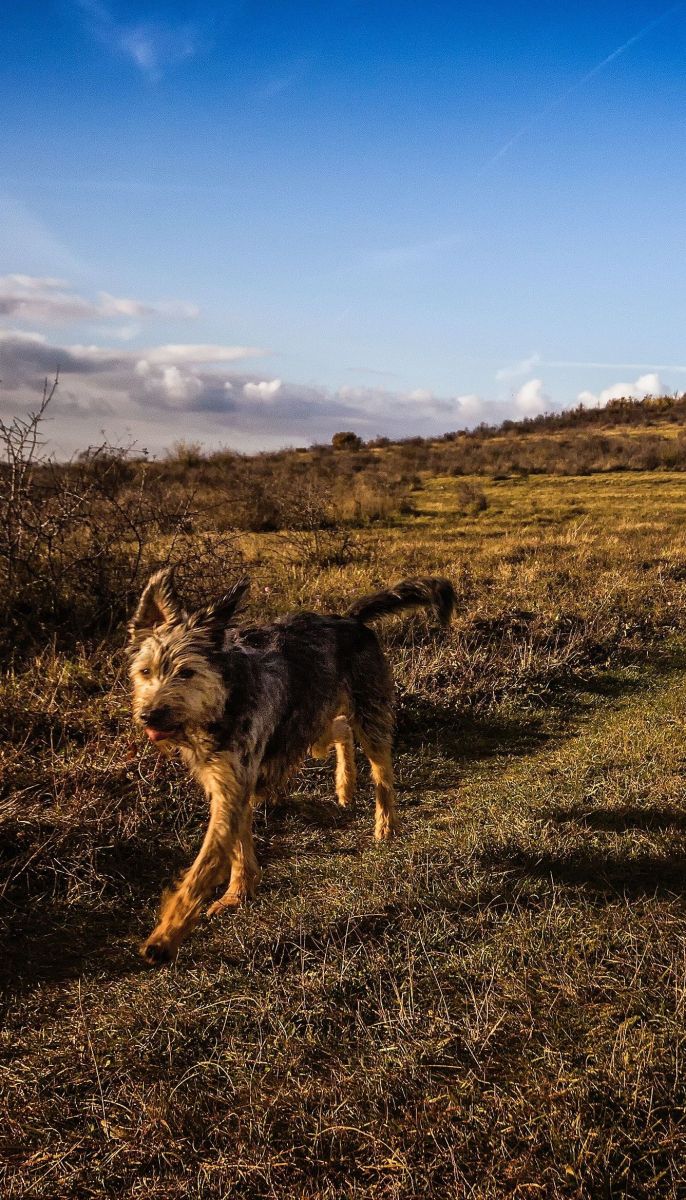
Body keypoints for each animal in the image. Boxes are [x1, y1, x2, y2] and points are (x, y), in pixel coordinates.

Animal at [131, 573, 458, 964]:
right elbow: (236, 845)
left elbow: (203, 867)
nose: (149, 715)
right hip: (311, 724)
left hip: (369, 714)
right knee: (340, 729)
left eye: (186, 672)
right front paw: (239, 891)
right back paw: (345, 786)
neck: (224, 698)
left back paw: (386, 825)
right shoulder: (227, 782)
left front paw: (164, 938)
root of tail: (349, 619)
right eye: (145, 671)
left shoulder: (233, 784)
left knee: (382, 772)